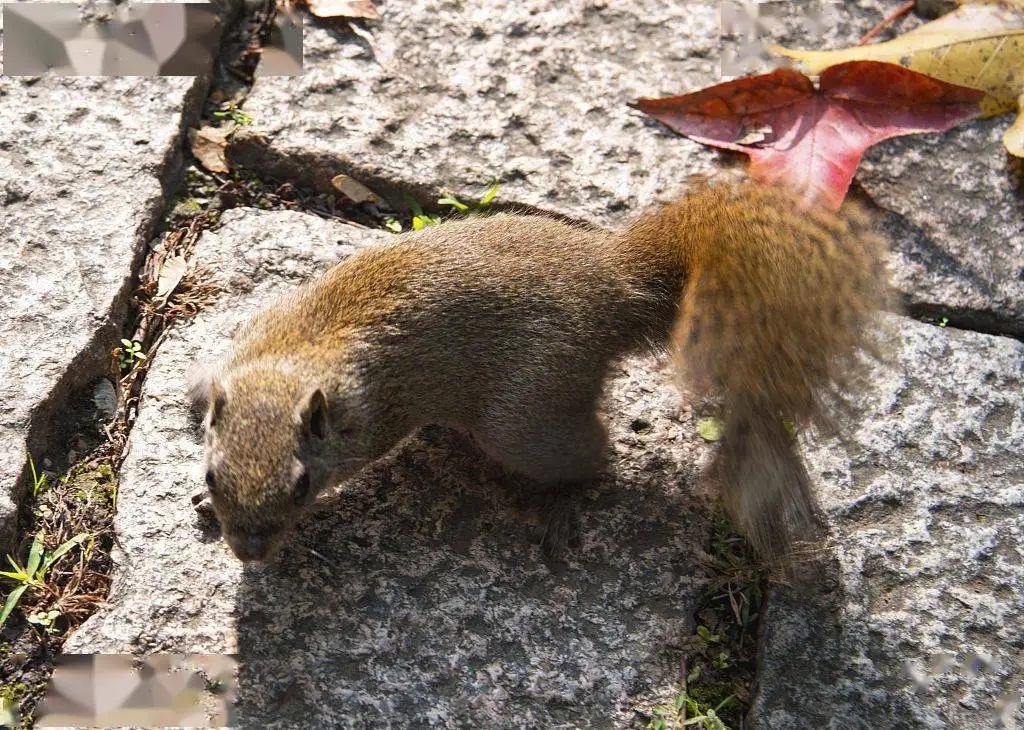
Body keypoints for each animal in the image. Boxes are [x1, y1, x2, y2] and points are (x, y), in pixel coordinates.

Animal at [188, 176, 892, 565]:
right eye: (213, 474)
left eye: (302, 486)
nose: (250, 553)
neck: (290, 362)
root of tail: (619, 283)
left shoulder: (370, 419)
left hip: (524, 421)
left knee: (595, 455)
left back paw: (562, 504)